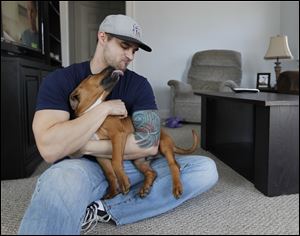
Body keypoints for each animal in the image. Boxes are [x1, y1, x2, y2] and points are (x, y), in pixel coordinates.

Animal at [69, 67, 198, 199]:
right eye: (90, 76)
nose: (110, 67)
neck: (94, 111)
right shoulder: (100, 155)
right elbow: (109, 173)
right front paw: (112, 192)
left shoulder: (117, 135)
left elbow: (115, 161)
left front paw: (123, 181)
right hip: (139, 161)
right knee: (152, 172)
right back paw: (145, 187)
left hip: (163, 144)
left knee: (174, 166)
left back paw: (176, 186)